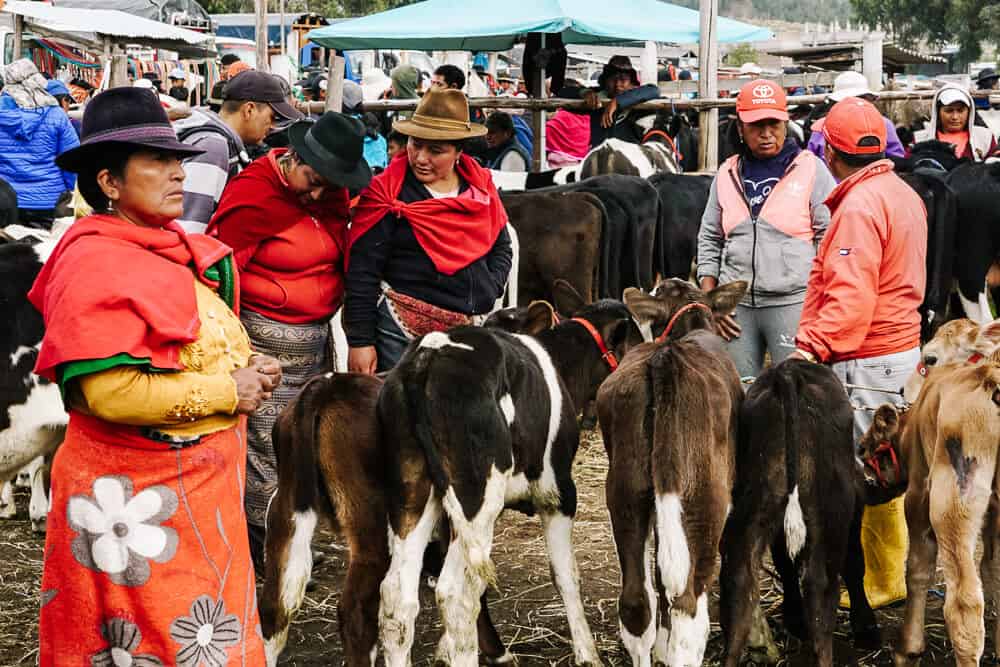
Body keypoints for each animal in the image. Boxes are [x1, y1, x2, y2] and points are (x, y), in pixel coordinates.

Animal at [376, 298, 640, 667]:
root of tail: (427, 358)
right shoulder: (558, 493)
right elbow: (565, 574)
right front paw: (588, 653)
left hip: (412, 498)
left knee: (397, 598)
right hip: (477, 498)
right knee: (455, 594)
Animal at [720, 362, 876, 664]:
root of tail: (787, 372)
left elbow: (784, 564)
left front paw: (794, 620)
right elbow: (855, 563)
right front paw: (866, 627)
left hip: (753, 507)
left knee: (740, 578)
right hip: (829, 514)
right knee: (820, 585)